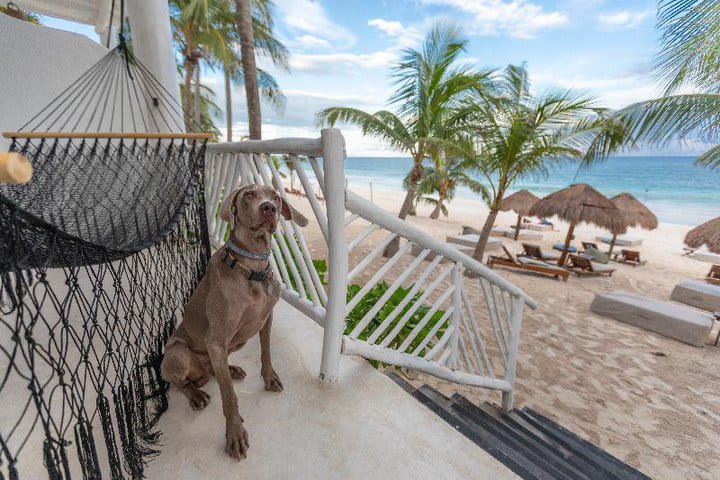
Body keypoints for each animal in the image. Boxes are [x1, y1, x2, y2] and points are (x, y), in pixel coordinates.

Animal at [162, 182, 308, 460]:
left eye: (275, 197)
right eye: (249, 194)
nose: (269, 208)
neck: (251, 267)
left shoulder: (265, 319)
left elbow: (266, 352)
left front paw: (270, 378)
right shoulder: (216, 339)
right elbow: (229, 397)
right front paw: (234, 435)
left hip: (233, 344)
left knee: (216, 370)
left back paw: (230, 370)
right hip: (177, 354)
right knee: (179, 383)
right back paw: (196, 395)